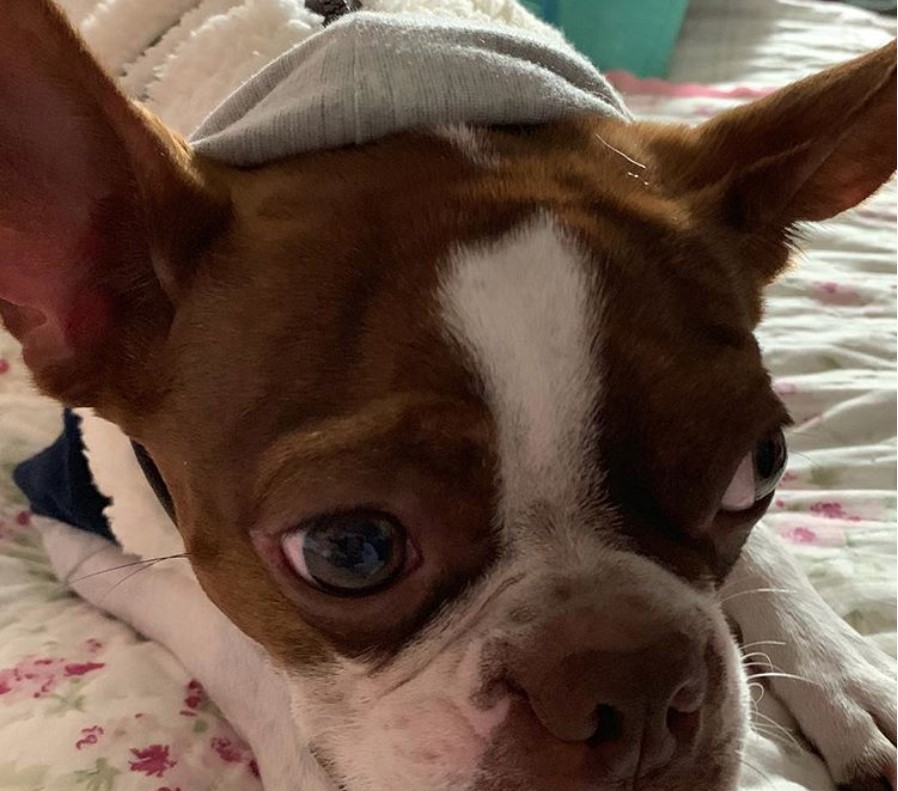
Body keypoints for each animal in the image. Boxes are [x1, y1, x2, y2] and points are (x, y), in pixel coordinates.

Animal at [1, 1, 896, 791]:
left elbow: (769, 559)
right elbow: (238, 647)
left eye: (762, 464)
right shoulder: (77, 520)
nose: (634, 680)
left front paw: (846, 674)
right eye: (349, 548)